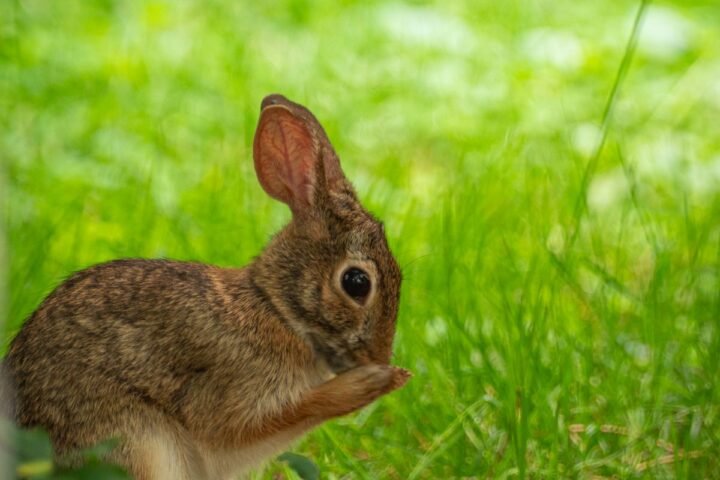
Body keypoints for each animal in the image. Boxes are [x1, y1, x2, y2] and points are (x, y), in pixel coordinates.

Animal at [2, 94, 410, 480]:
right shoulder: (229, 396)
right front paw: (378, 381)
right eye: (356, 283)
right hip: (137, 441)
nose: (379, 355)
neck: (274, 308)